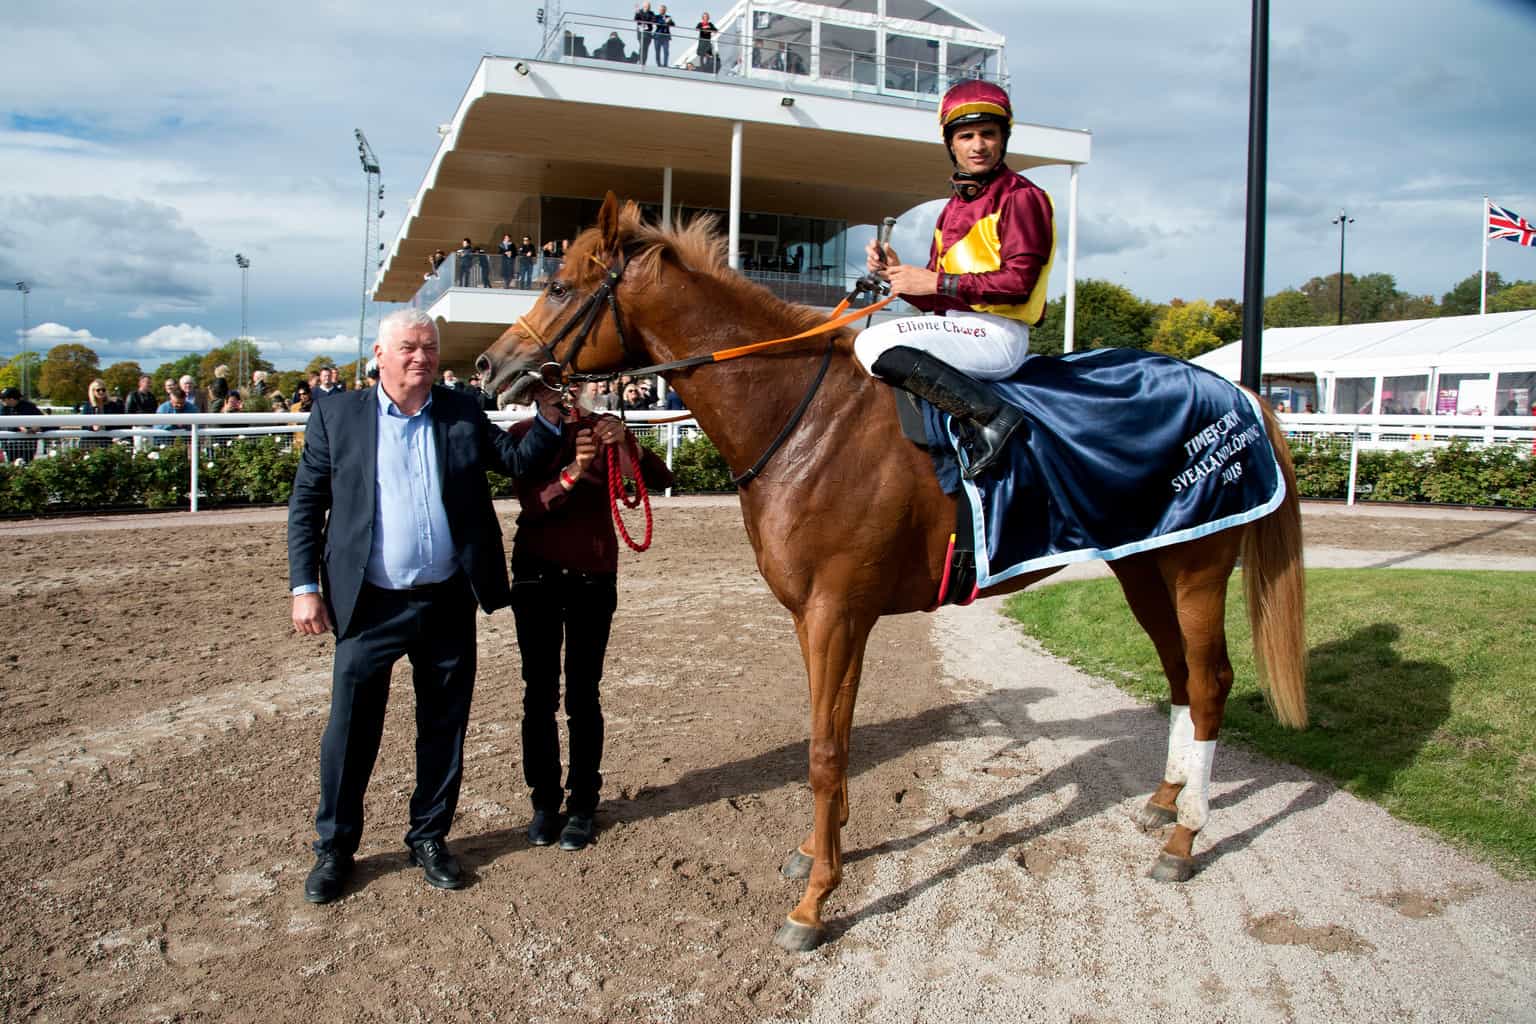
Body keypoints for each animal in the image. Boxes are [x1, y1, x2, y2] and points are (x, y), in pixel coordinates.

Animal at [479, 194, 1308, 951]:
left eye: (560, 284)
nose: (489, 365)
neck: (805, 420)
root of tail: (1239, 391)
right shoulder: (813, 615)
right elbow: (831, 734)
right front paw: (818, 853)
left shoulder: (837, 612)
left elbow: (824, 752)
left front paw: (815, 902)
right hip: (1145, 566)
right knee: (1179, 677)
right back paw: (1166, 799)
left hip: (1196, 568)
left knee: (1210, 681)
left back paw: (1183, 839)